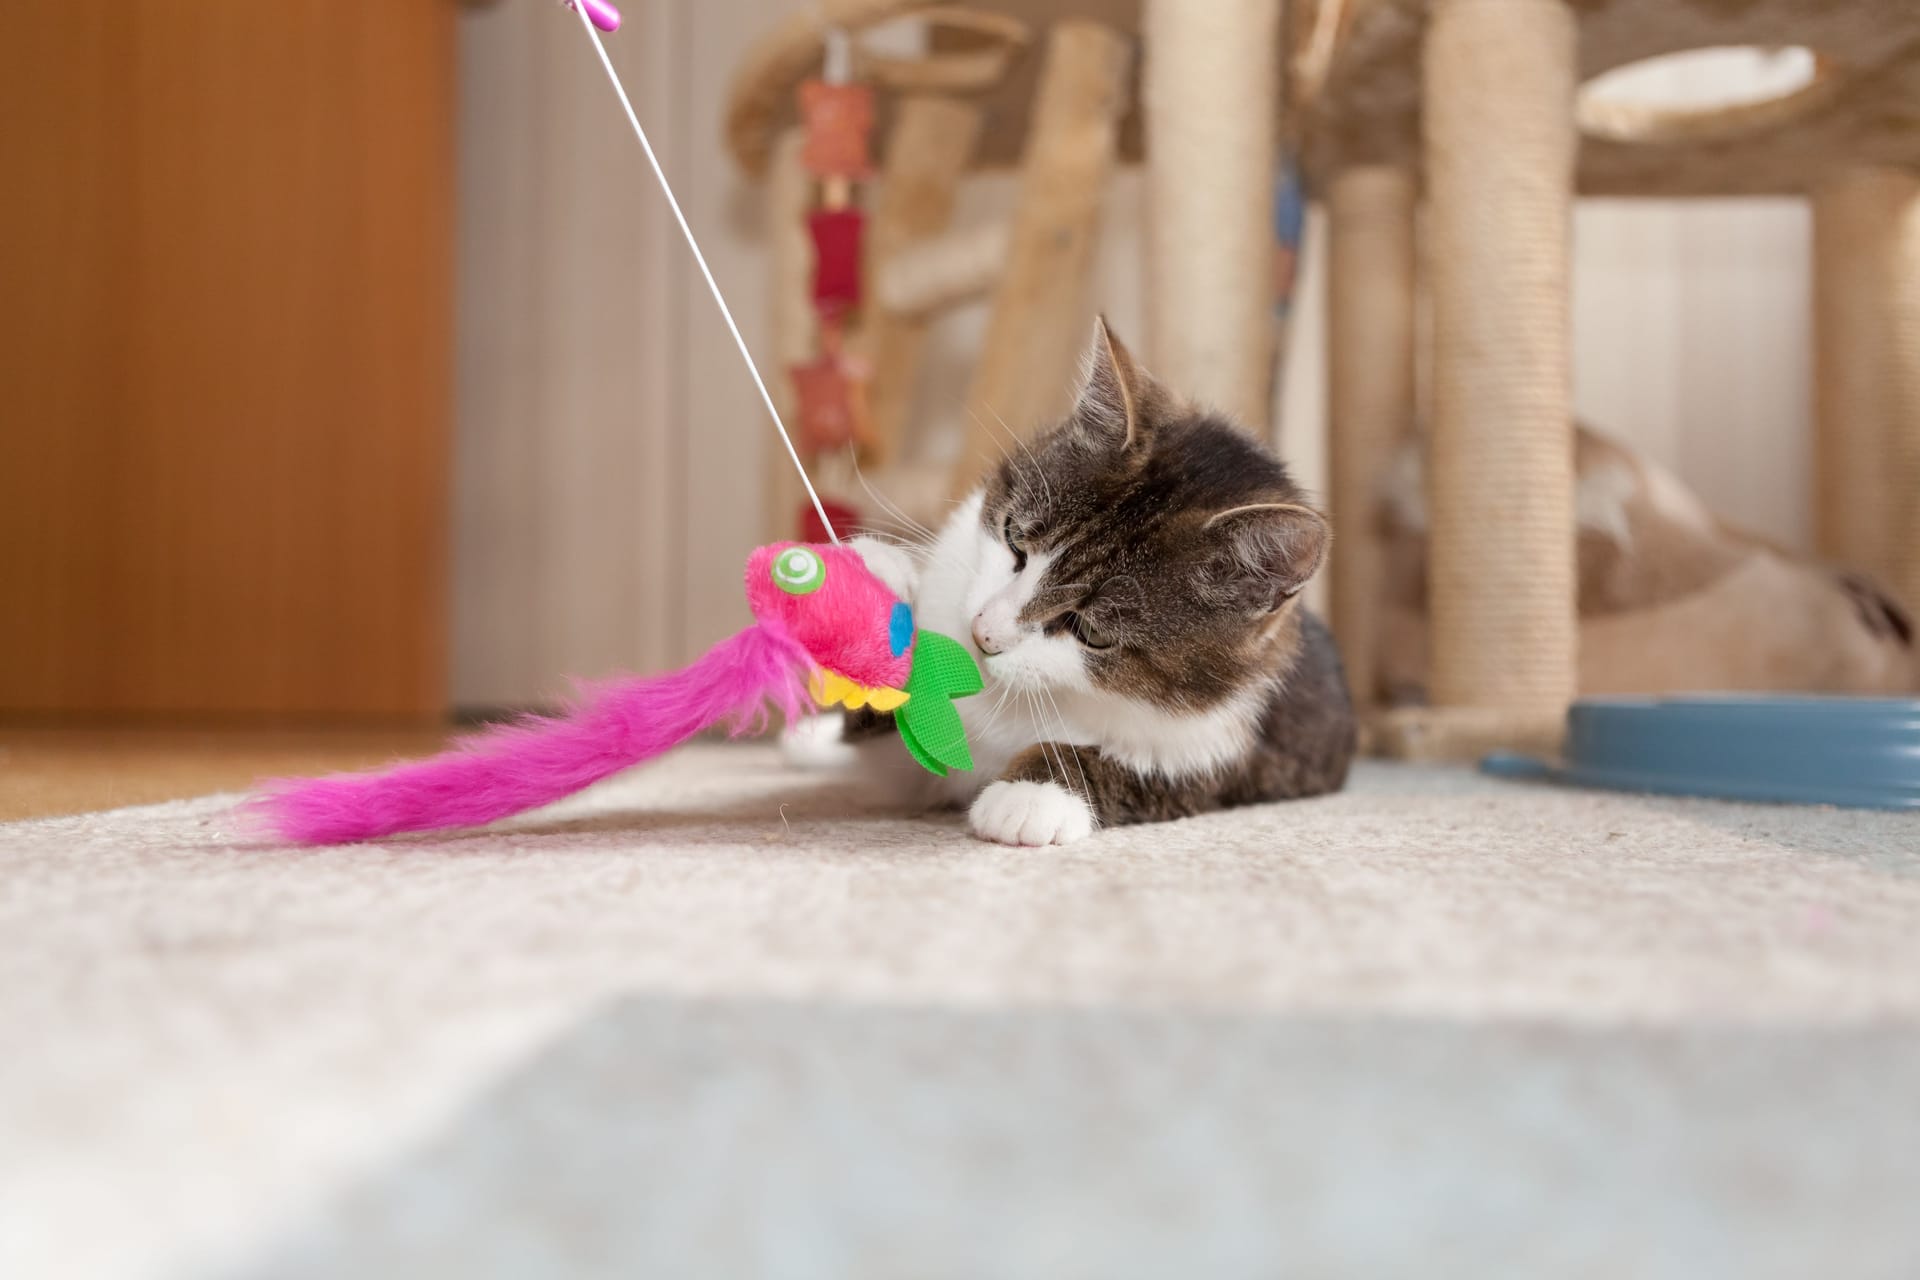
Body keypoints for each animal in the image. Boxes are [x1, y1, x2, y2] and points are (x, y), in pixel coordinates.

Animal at [802, 320, 1359, 844]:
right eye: (1014, 539)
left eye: (1090, 632)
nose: (984, 634)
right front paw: (873, 575)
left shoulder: (1223, 748)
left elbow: (1138, 774)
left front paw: (1031, 795)